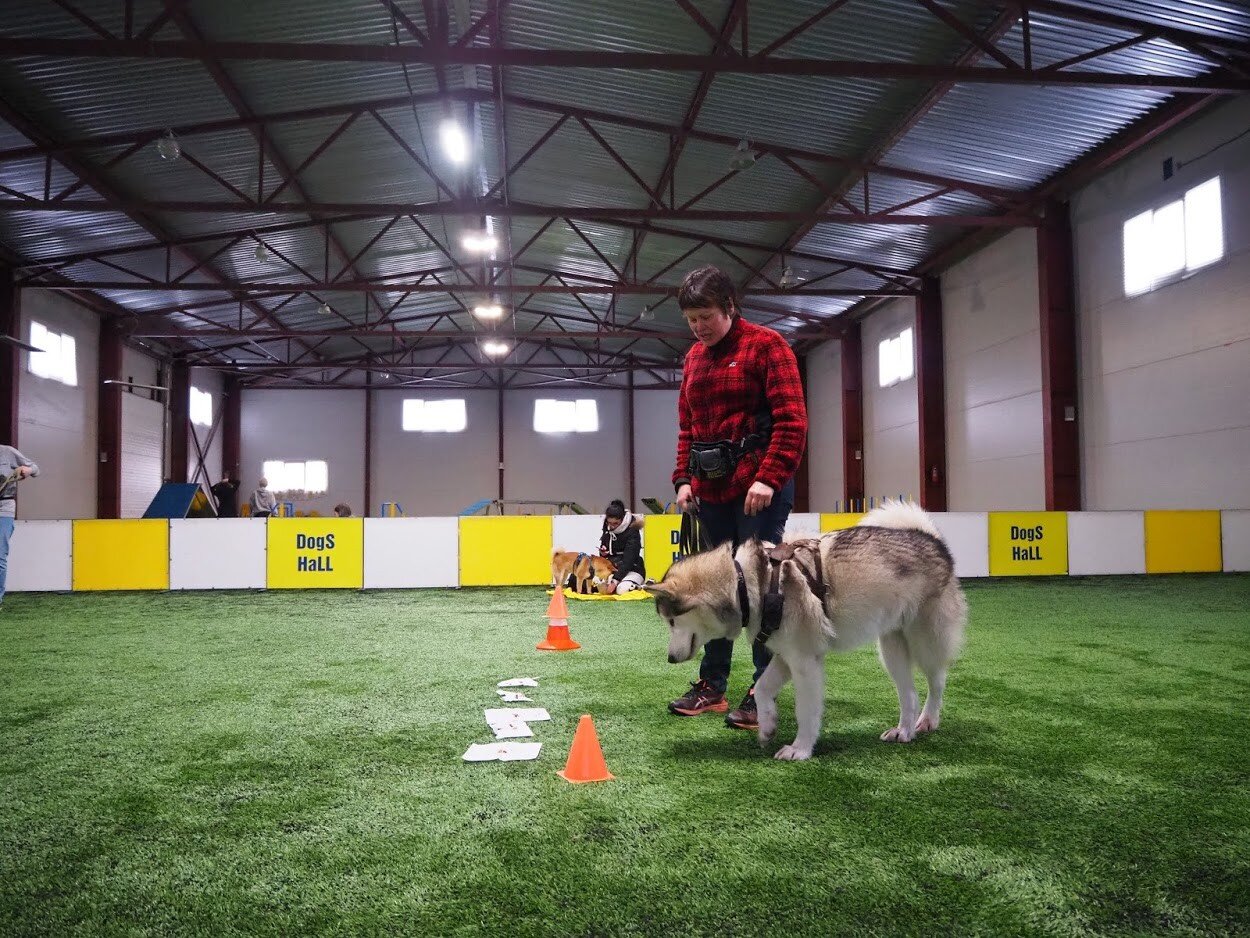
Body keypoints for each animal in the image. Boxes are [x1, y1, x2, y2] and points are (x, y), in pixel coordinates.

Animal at [645, 502, 965, 760]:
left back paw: (928, 720)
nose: (670, 658)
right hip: (891, 649)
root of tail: (932, 539)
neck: (747, 584)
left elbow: (806, 711)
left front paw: (800, 749)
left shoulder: (805, 662)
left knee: (937, 681)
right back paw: (904, 731)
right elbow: (762, 688)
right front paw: (767, 725)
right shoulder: (786, 657)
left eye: (671, 621)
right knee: (909, 693)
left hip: (925, 642)